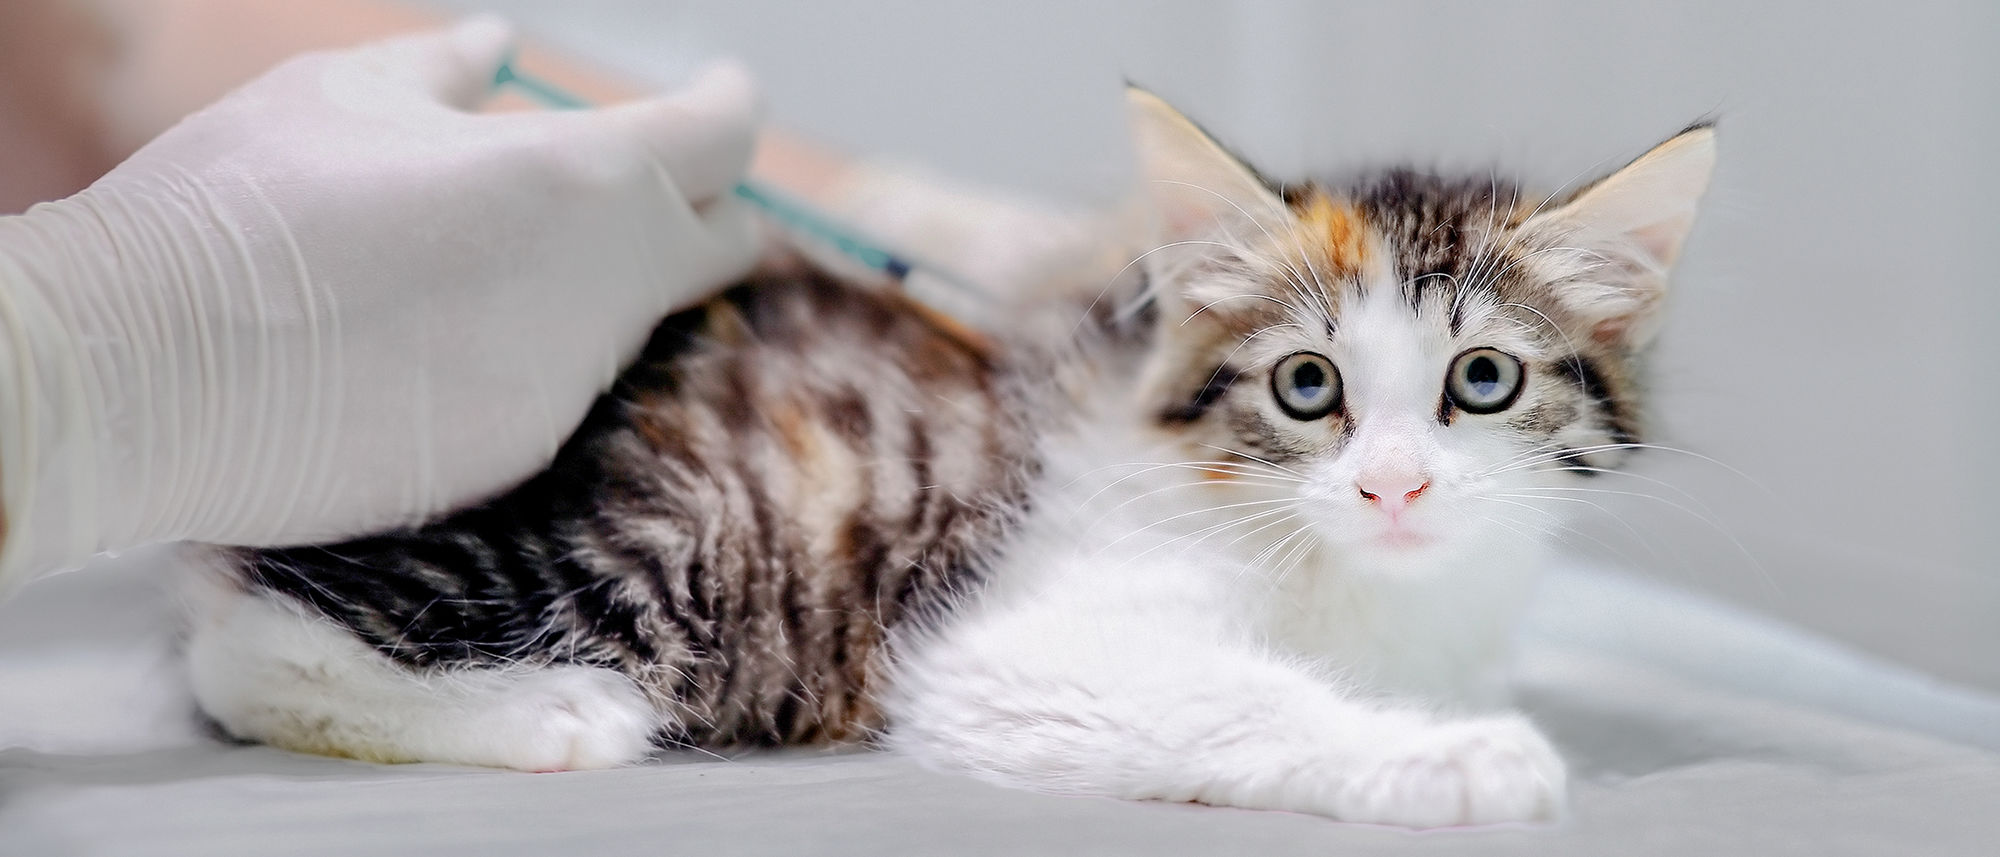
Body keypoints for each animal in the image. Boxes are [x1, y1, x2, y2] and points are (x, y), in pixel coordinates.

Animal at [184, 90, 1720, 824]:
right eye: (1306, 385)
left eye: (1481, 380)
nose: (1390, 485)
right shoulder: (1014, 645)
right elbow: (1228, 699)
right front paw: (1451, 755)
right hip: (669, 530)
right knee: (242, 638)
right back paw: (544, 713)